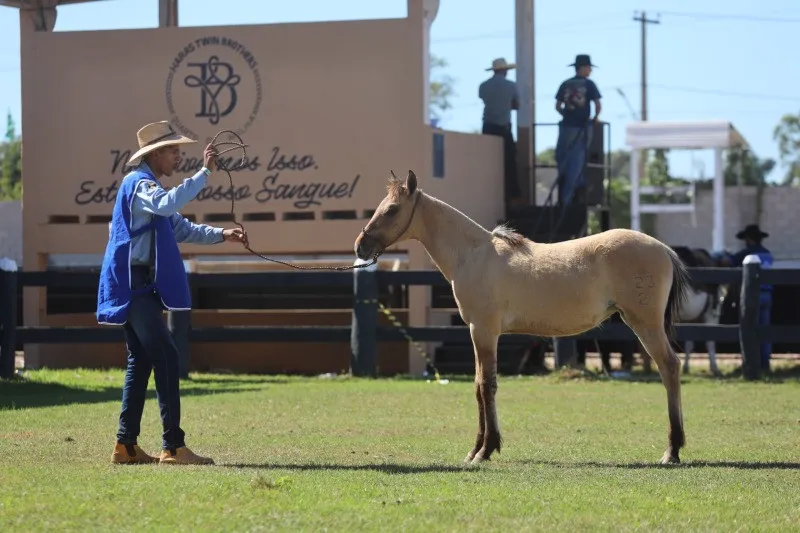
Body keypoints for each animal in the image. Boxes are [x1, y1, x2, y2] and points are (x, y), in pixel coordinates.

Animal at [353, 170, 691, 465]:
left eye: (392, 209)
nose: (360, 246)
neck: (474, 255)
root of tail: (663, 249)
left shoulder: (484, 331)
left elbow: (486, 385)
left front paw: (485, 450)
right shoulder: (476, 332)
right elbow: (477, 385)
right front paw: (475, 450)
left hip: (645, 325)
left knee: (669, 367)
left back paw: (671, 451)